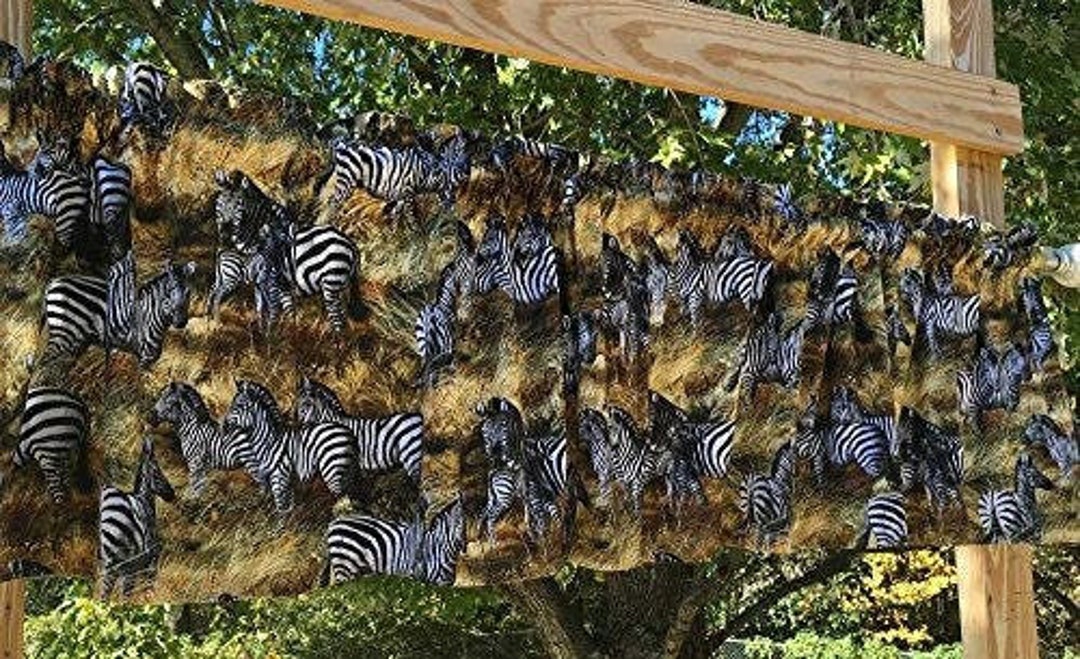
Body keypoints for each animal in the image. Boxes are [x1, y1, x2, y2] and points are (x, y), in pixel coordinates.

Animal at [43, 260, 196, 367]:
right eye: (169, 292)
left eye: (188, 293)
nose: (181, 323)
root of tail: (53, 282)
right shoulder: (144, 356)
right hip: (62, 332)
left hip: (76, 339)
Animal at [99, 437, 176, 597]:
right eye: (157, 473)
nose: (172, 494)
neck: (143, 500)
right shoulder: (150, 559)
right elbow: (146, 588)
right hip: (126, 562)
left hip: (110, 562)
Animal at [222, 379, 360, 515]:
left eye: (238, 405)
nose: (223, 426)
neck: (269, 441)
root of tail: (347, 431)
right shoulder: (286, 482)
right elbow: (288, 508)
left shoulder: (278, 478)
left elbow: (281, 509)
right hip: (346, 472)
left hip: (332, 471)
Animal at [322, 495, 465, 586]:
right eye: (459, 523)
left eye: (467, 523)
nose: (464, 546)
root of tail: (334, 522)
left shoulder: (444, 585)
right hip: (344, 567)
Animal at [327, 133, 470, 217]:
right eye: (461, 149)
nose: (467, 173)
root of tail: (340, 143)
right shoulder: (409, 191)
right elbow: (413, 221)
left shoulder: (401, 196)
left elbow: (396, 219)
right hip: (346, 181)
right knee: (333, 203)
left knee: (331, 201)